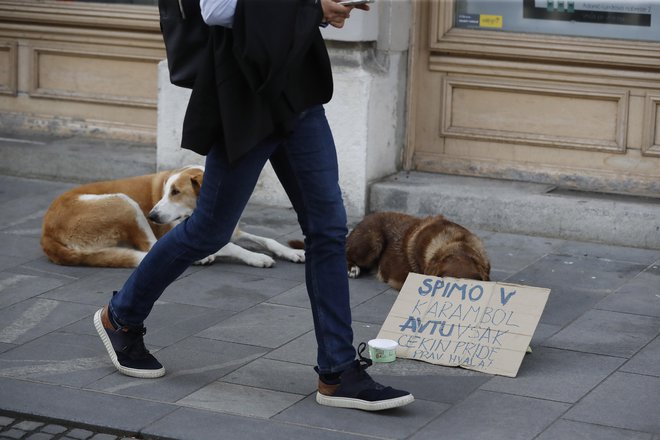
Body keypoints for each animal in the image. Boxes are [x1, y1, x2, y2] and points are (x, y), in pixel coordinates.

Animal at [42, 166, 306, 266]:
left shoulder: (233, 230)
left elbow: (267, 240)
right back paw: (202, 258)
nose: (152, 215)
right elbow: (234, 247)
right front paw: (256, 258)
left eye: (176, 192)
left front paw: (291, 252)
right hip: (124, 202)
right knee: (152, 247)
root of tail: (46, 233)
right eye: (166, 191)